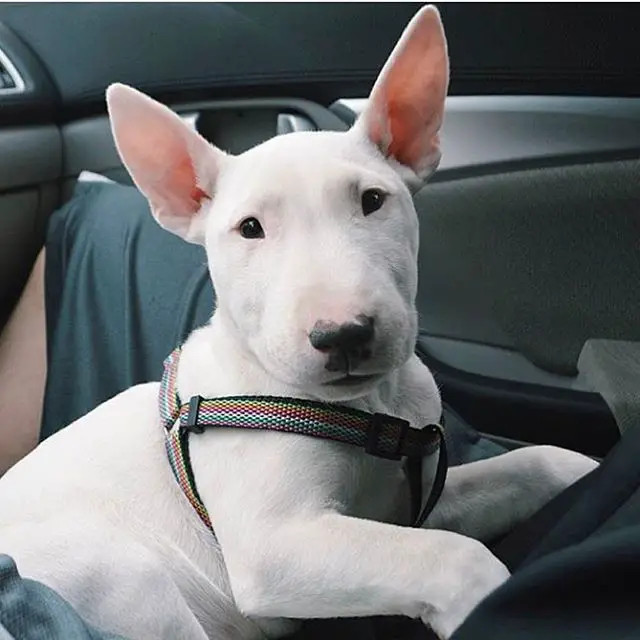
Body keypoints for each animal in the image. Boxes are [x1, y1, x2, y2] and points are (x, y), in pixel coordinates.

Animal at [0, 6, 596, 640]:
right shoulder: (275, 547)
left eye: (372, 200)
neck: (370, 410)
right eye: (250, 228)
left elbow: (536, 464)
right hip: (126, 573)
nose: (344, 335)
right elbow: (453, 557)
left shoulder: (409, 507)